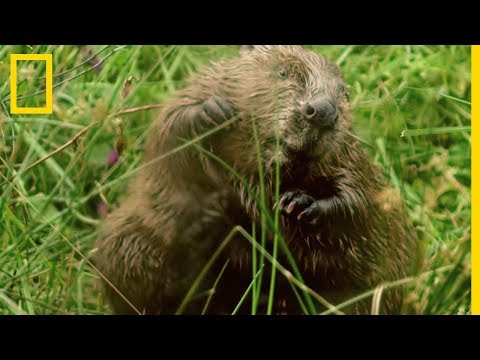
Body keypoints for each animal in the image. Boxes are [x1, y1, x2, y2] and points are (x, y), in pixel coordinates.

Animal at [93, 45, 416, 316]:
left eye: (343, 92)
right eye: (283, 72)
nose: (323, 112)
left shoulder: (349, 156)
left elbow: (361, 201)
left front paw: (299, 204)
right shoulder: (200, 88)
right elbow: (167, 134)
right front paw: (212, 112)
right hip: (125, 238)